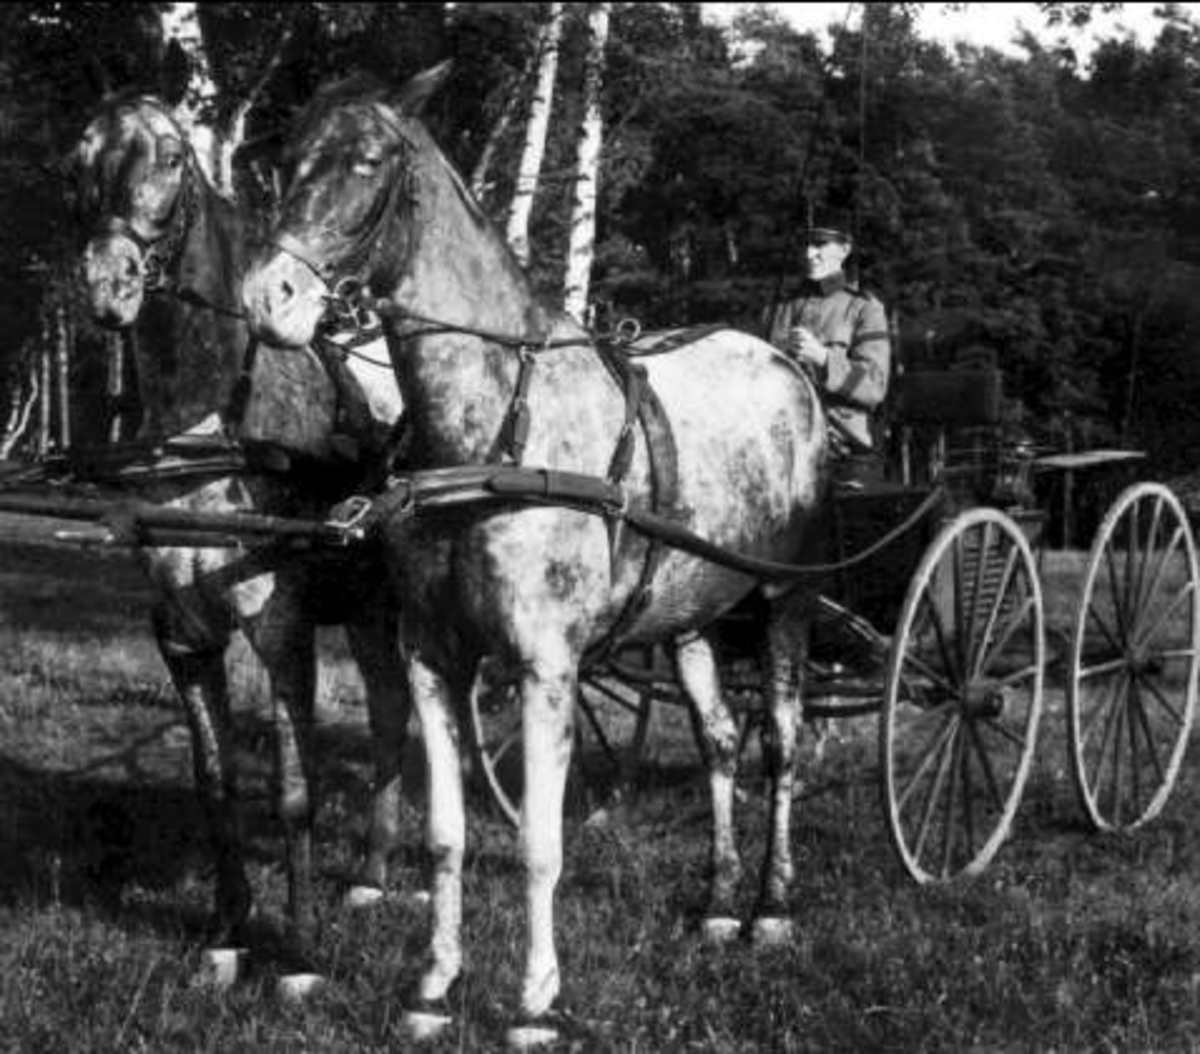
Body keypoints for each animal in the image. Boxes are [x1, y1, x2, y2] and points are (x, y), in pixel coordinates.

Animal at [73, 90, 415, 969]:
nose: (110, 283)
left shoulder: (281, 627)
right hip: (367, 613)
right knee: (391, 713)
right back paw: (372, 873)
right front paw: (229, 932)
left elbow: (294, 791)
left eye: (169, 155)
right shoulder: (182, 632)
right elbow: (215, 778)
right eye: (77, 159)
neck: (213, 427)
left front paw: (297, 954)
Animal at [242, 65, 827, 1043]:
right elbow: (446, 834)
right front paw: (434, 986)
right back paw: (717, 897)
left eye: (368, 161)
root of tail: (788, 367)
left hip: (782, 600)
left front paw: (535, 1001)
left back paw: (770, 907)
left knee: (780, 741)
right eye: (287, 159)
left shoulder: (548, 666)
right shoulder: (434, 657)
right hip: (694, 618)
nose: (266, 298)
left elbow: (540, 843)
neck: (494, 430)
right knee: (718, 737)